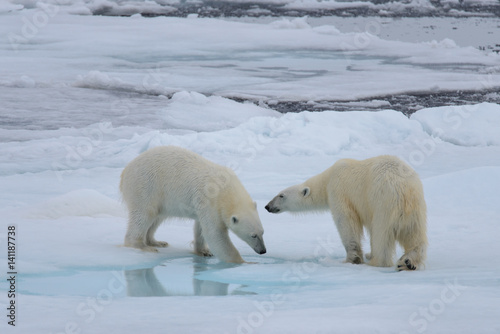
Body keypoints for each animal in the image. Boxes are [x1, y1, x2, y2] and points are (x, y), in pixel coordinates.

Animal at [118, 146, 266, 264]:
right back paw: (143, 246)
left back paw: (156, 241)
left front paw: (204, 251)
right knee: (144, 214)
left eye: (263, 232)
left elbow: (200, 228)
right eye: (253, 235)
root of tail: (125, 171)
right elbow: (215, 234)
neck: (225, 189)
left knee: (157, 217)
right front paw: (244, 262)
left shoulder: (203, 206)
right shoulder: (210, 202)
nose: (263, 251)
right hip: (146, 186)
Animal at [266, 156, 426, 272]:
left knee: (381, 235)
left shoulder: (340, 191)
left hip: (383, 204)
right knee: (415, 237)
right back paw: (408, 262)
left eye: (281, 195)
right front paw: (367, 254)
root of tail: (403, 190)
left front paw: (352, 259)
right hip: (416, 209)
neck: (328, 177)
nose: (267, 206)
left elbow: (346, 222)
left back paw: (376, 262)